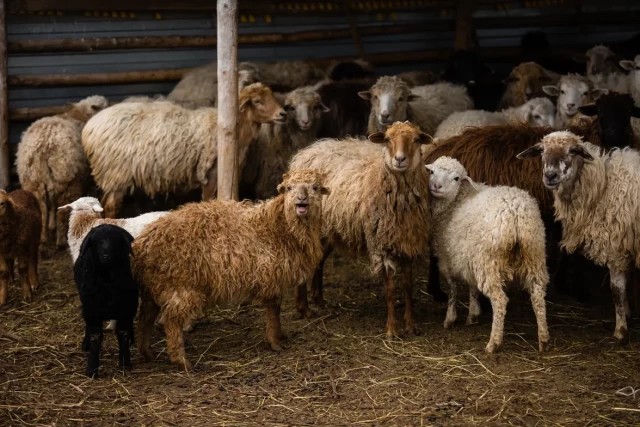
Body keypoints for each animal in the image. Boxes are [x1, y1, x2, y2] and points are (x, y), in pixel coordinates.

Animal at [75, 224, 139, 378]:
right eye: (97, 241)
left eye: (115, 240)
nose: (106, 255)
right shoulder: (92, 311)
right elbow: (95, 337)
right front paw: (91, 369)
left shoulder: (126, 309)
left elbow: (123, 334)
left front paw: (125, 363)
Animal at [428, 157, 548, 354]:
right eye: (432, 172)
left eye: (456, 178)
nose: (436, 186)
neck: (457, 200)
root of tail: (515, 212)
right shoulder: (468, 257)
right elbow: (473, 287)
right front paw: (473, 315)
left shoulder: (447, 258)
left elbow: (453, 289)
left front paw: (450, 319)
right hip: (534, 254)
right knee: (538, 295)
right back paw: (544, 339)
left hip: (489, 261)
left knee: (500, 301)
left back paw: (493, 343)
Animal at [516, 132, 640, 342]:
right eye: (541, 150)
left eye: (573, 150)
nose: (550, 175)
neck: (603, 185)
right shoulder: (625, 245)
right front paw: (628, 315)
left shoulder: (615, 246)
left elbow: (617, 290)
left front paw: (621, 331)